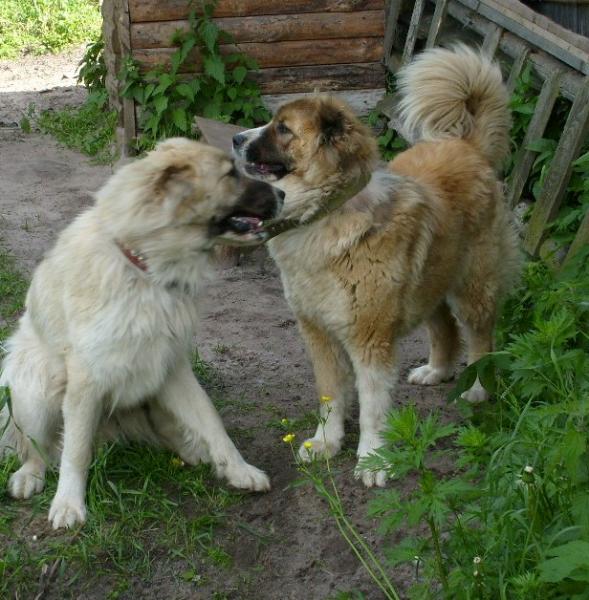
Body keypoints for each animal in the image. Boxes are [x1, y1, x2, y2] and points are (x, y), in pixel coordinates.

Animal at [0, 138, 283, 529]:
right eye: (230, 174)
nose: (283, 193)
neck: (143, 270)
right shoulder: (86, 380)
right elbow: (75, 451)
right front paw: (69, 503)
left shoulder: (172, 365)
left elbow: (213, 422)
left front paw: (238, 469)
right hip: (36, 383)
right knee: (36, 447)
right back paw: (29, 475)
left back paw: (191, 449)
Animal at [232, 45, 521, 487]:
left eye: (283, 129)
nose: (235, 138)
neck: (326, 212)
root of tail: (467, 146)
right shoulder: (318, 332)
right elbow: (331, 395)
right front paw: (326, 443)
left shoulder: (370, 339)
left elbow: (372, 407)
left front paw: (372, 460)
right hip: (428, 282)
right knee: (444, 328)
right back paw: (436, 371)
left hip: (472, 286)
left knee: (479, 336)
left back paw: (475, 389)